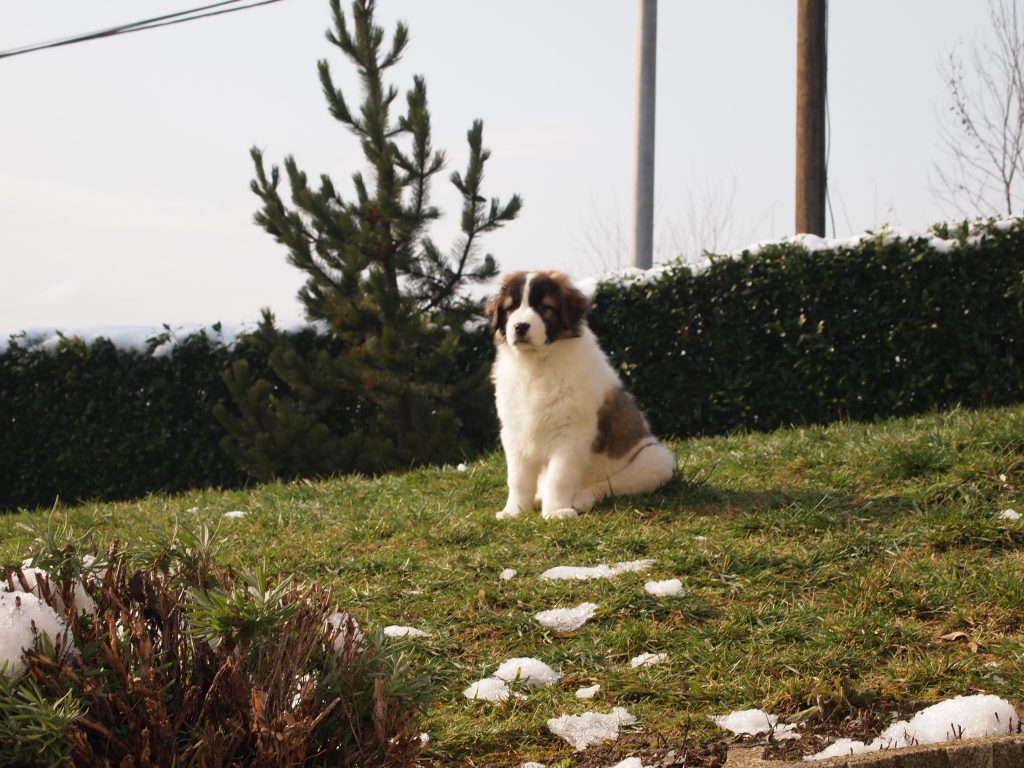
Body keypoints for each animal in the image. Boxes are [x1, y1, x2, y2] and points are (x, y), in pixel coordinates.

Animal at [485, 270, 675, 524]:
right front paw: (514, 511)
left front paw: (555, 512)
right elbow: (517, 478)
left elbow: (559, 477)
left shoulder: (571, 435)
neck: (537, 363)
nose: (520, 327)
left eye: (544, 307)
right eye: (511, 308)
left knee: (607, 485)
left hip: (654, 460)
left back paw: (579, 499)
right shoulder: (515, 433)